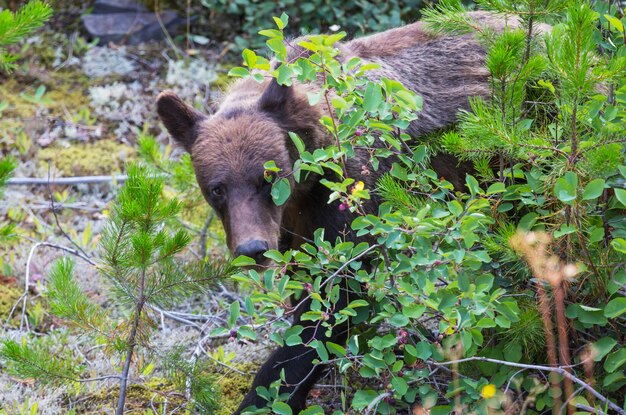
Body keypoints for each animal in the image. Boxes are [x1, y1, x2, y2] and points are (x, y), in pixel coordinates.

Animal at [157, 11, 544, 414]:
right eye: (217, 188)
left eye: (267, 177)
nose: (253, 249)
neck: (306, 181)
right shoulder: (294, 227)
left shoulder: (348, 195)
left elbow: (332, 306)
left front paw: (264, 395)